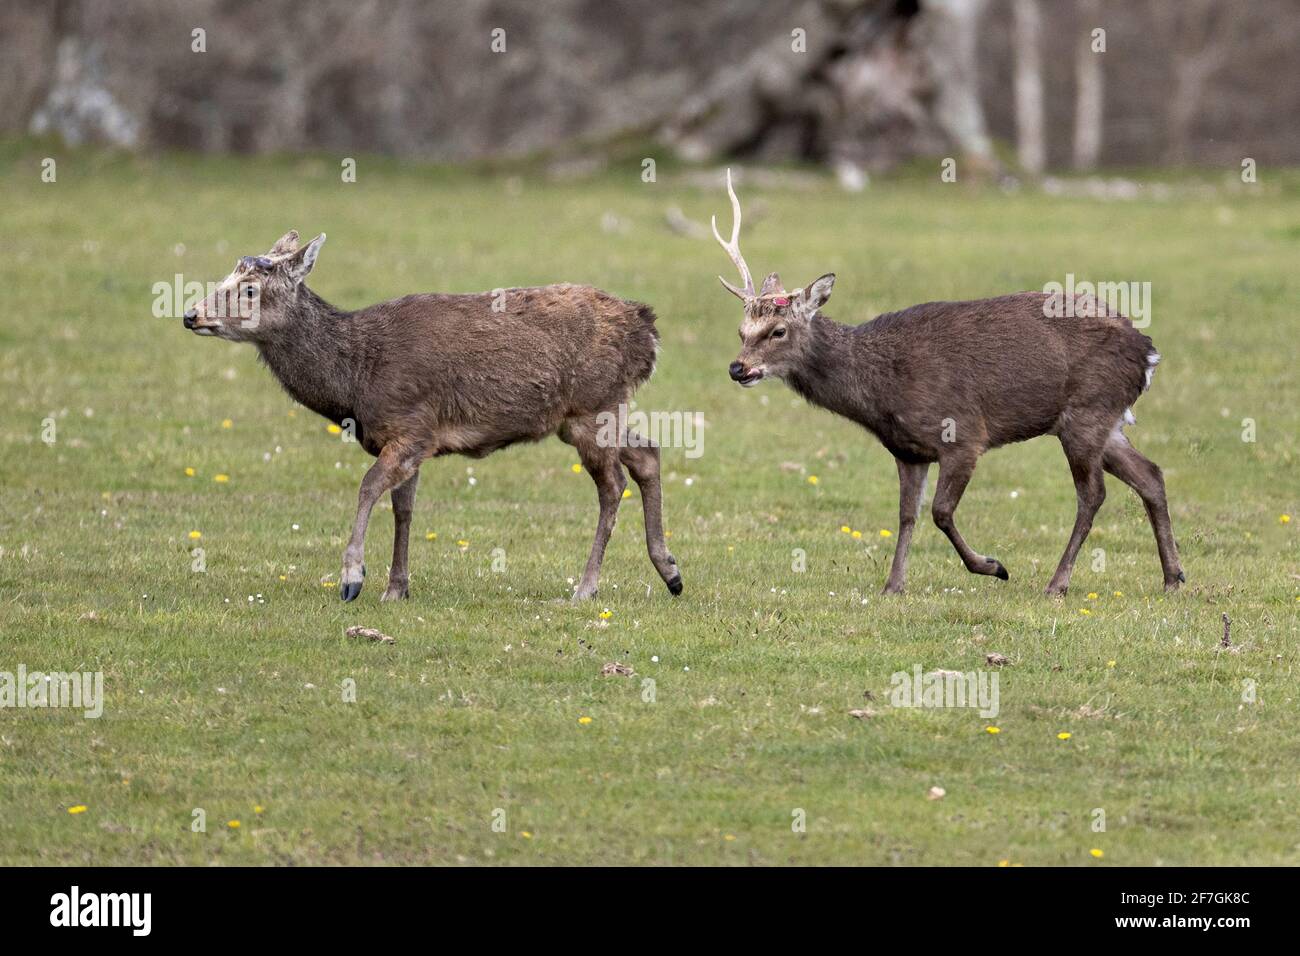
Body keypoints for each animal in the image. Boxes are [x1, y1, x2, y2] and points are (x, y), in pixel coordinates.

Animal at [183, 230, 682, 603]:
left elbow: (368, 487)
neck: (356, 379)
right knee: (647, 454)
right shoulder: (411, 440)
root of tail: (648, 330)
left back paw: (586, 587)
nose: (190, 314)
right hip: (595, 412)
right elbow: (404, 507)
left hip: (590, 407)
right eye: (226, 277)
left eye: (249, 288)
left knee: (613, 484)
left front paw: (352, 578)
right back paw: (671, 571)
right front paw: (395, 588)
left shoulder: (411, 427)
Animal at [711, 171, 1184, 597]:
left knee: (1093, 494)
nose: (738, 368)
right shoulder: (906, 450)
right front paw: (893, 586)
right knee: (1151, 475)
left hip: (1087, 413)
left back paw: (1057, 584)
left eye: (777, 331)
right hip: (1107, 420)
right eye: (741, 330)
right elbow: (907, 516)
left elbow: (940, 512)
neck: (880, 388)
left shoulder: (964, 434)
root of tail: (1148, 351)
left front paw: (993, 566)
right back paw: (1173, 578)